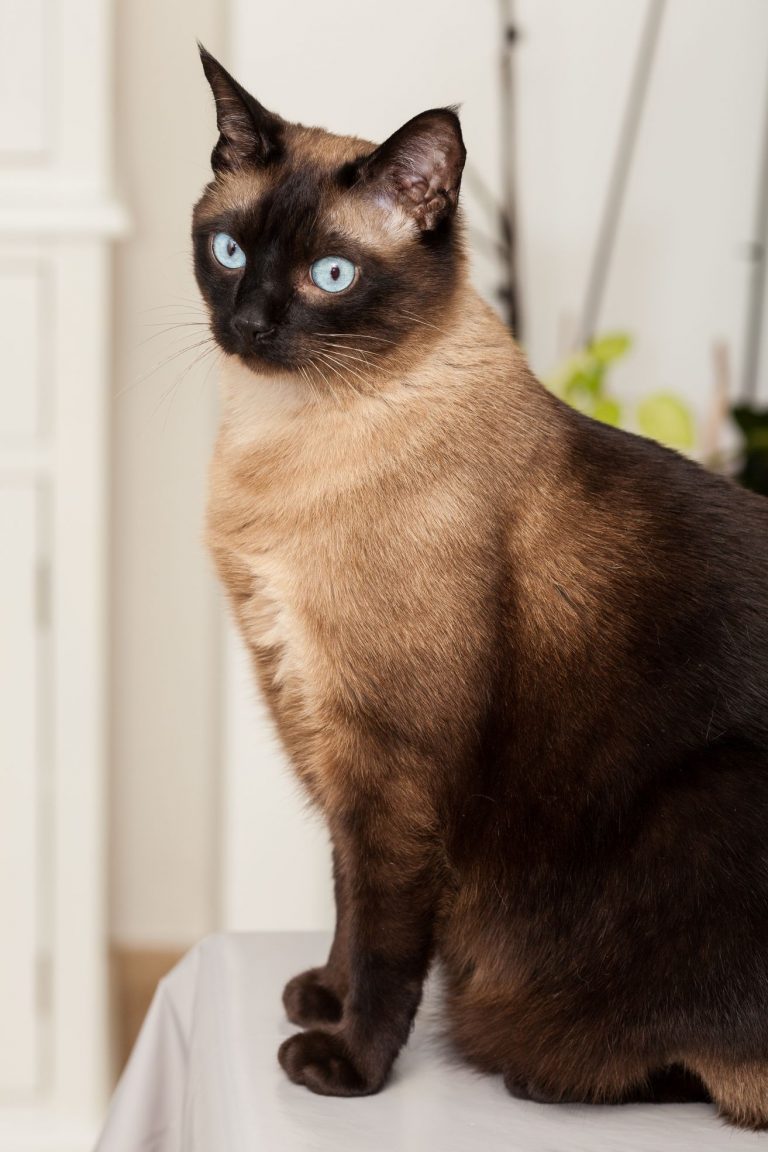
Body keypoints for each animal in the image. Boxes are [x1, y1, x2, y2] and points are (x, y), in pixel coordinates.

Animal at [196, 47, 768, 1133]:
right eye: (230, 252)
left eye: (331, 277)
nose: (248, 325)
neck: (286, 442)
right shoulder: (328, 736)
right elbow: (347, 903)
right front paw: (321, 998)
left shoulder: (391, 759)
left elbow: (385, 935)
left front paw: (348, 1064)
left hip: (706, 803)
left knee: (713, 1073)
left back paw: (540, 1070)